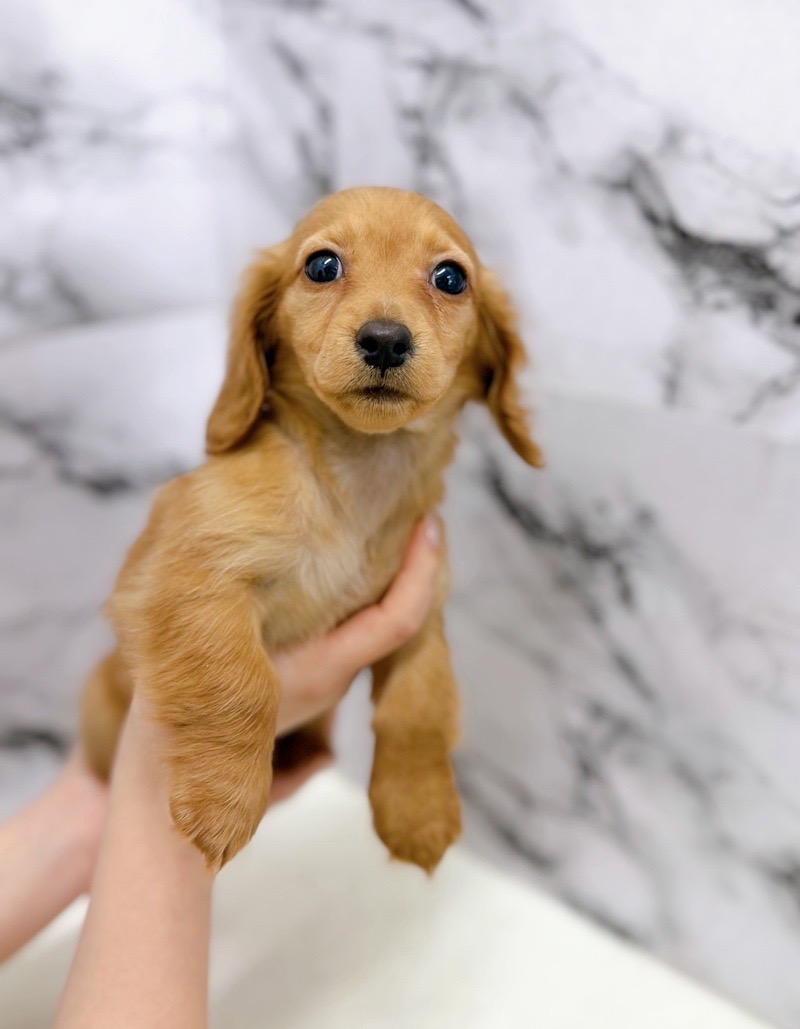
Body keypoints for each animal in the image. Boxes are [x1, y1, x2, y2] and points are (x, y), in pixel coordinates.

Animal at [79, 186, 543, 873]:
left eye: (451, 278)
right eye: (322, 266)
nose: (385, 340)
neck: (352, 484)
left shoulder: (420, 608)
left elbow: (421, 707)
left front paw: (419, 809)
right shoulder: (186, 575)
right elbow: (239, 683)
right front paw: (223, 801)